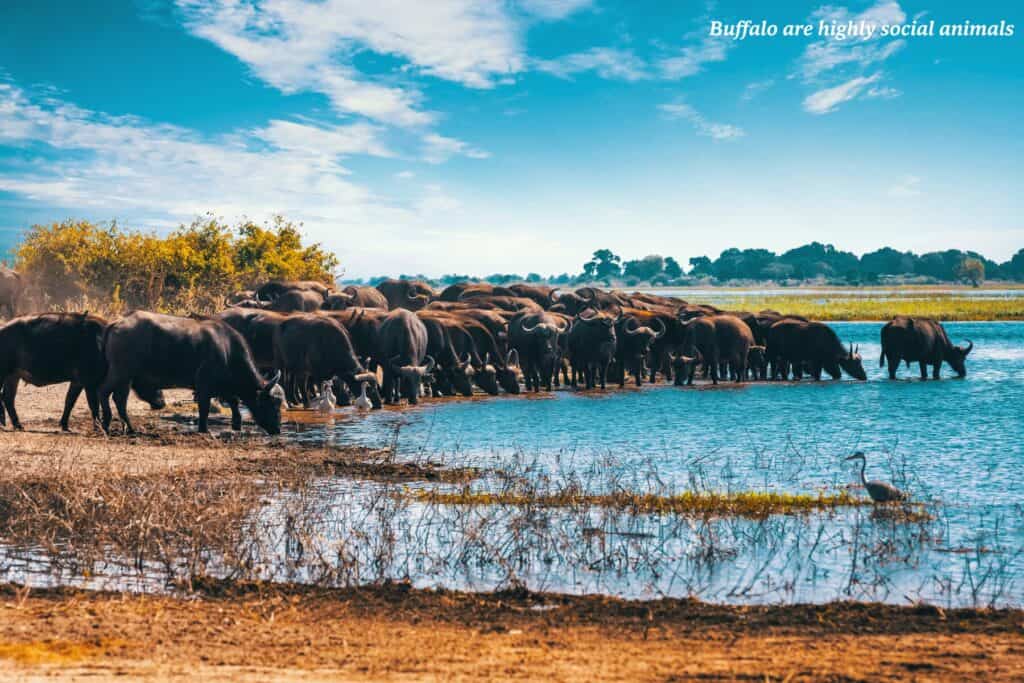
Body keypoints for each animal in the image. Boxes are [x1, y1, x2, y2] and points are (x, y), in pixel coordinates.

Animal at [100, 313, 284, 436]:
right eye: (271, 403)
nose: (277, 429)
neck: (227, 349)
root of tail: (117, 323)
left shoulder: (223, 386)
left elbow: (233, 401)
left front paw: (236, 425)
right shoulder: (204, 386)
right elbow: (205, 407)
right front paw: (204, 429)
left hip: (124, 377)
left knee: (116, 398)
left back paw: (119, 426)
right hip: (121, 374)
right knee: (108, 394)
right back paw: (114, 425)